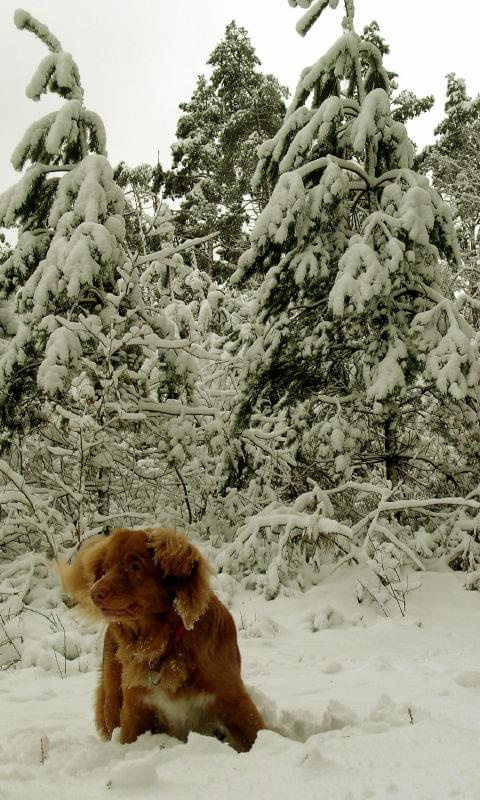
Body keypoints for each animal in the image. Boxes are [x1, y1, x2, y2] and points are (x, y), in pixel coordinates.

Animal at [59, 528, 266, 752]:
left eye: (135, 566)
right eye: (105, 570)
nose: (95, 593)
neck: (163, 645)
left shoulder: (232, 697)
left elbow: (258, 731)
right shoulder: (135, 708)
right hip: (112, 697)